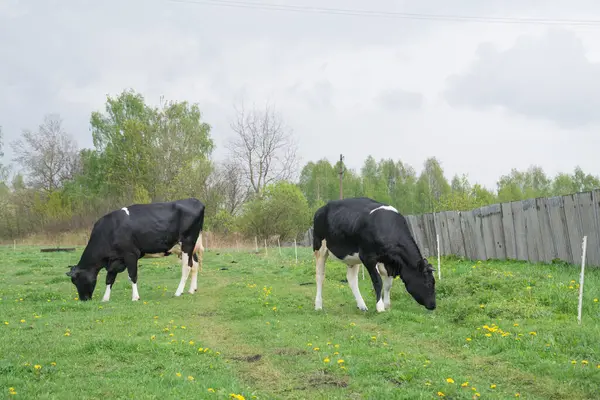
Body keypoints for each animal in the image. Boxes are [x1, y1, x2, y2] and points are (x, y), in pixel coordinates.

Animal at [66, 198, 206, 302]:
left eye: (76, 280)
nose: (83, 299)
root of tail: (195, 201)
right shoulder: (115, 259)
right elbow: (109, 278)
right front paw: (105, 299)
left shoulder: (131, 254)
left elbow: (132, 276)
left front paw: (135, 297)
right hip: (189, 247)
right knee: (194, 265)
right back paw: (192, 290)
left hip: (187, 243)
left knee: (187, 267)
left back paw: (178, 292)